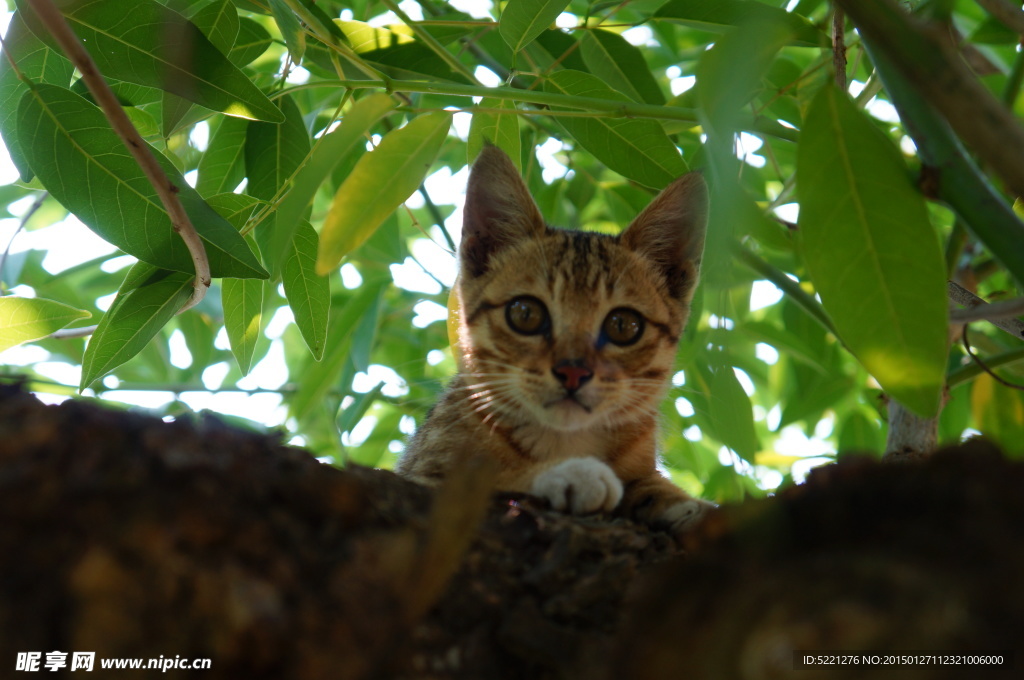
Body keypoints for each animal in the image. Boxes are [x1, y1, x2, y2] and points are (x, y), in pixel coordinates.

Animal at [395, 146, 716, 532]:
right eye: (525, 314)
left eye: (624, 325)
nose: (573, 372)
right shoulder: (420, 475)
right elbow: (490, 476)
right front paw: (569, 473)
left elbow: (653, 484)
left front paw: (688, 503)